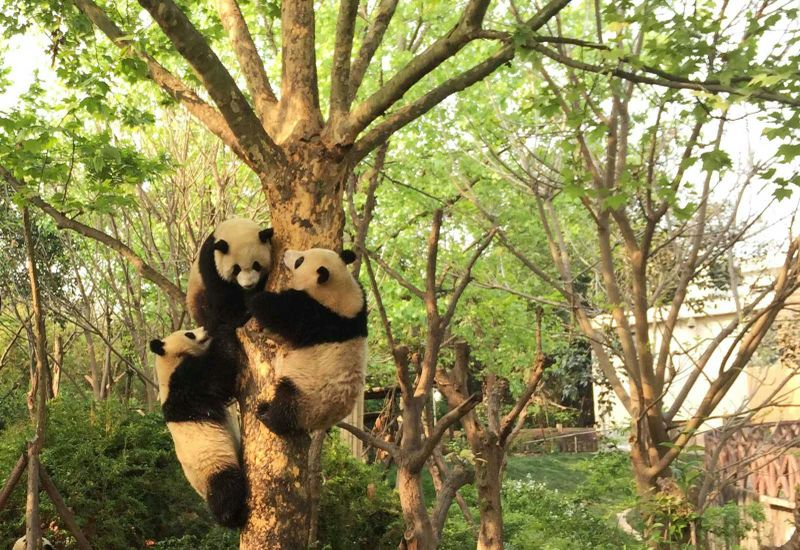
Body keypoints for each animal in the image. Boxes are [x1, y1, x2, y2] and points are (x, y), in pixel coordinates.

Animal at [148, 327, 246, 528]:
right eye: (189, 334)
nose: (205, 330)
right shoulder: (184, 385)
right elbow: (218, 373)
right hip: (213, 468)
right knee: (226, 488)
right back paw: (233, 516)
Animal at [248, 248, 367, 436]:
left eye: (300, 261)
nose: (286, 253)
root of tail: (319, 423)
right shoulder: (359, 309)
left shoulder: (315, 317)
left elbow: (279, 312)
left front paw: (257, 297)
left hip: (308, 396)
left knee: (287, 400)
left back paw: (268, 415)